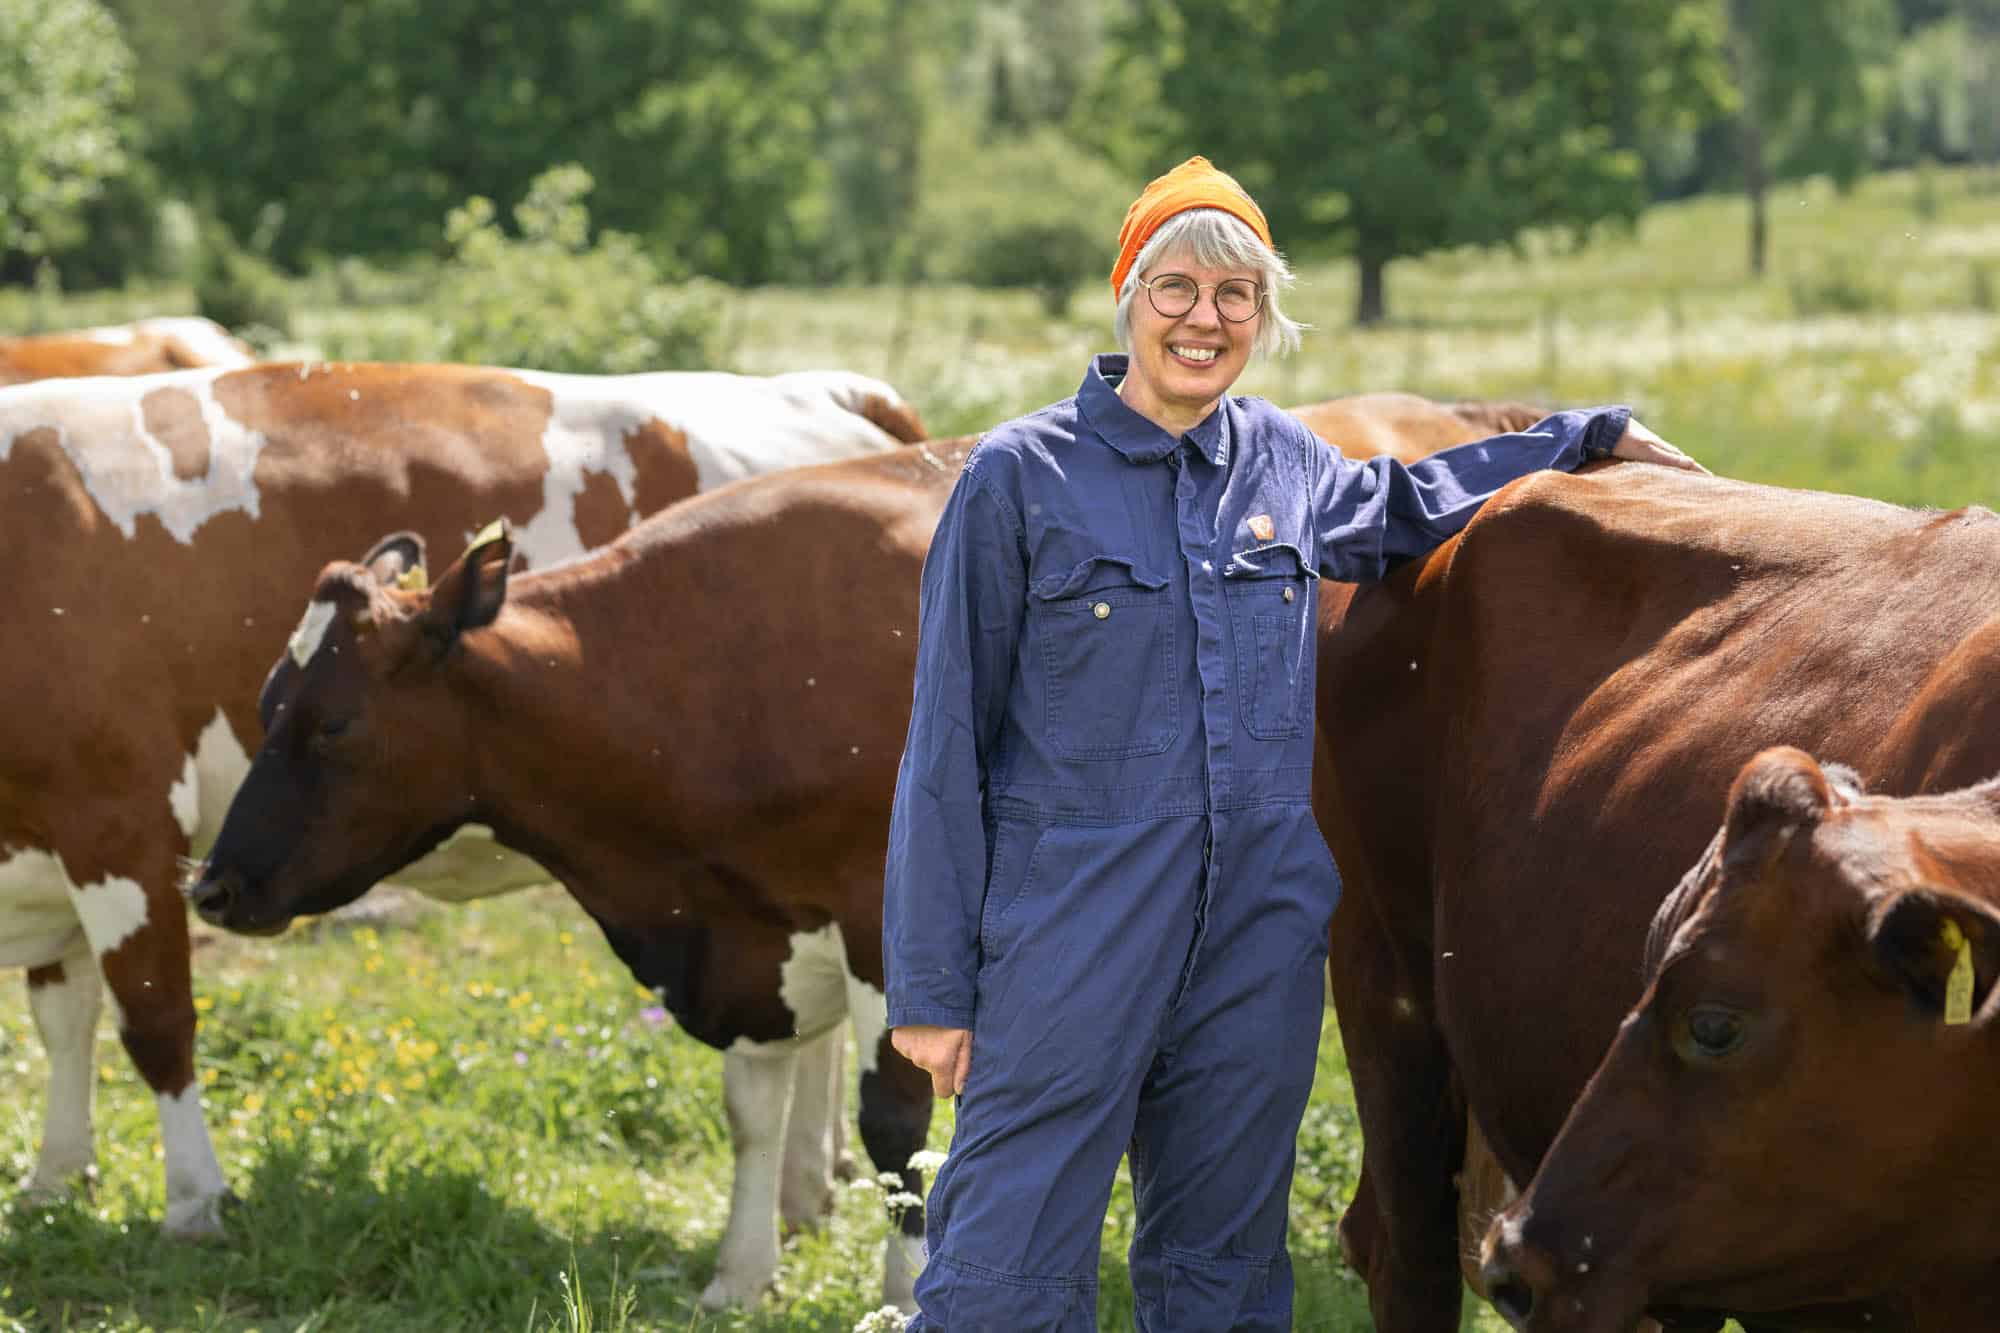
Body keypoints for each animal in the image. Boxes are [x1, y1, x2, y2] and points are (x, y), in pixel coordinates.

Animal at [0, 358, 920, 1240]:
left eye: (334, 724)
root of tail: (812, 387)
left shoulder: (118, 822)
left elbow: (154, 1020)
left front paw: (193, 1202)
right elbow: (63, 1016)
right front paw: (56, 1177)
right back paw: (805, 1188)